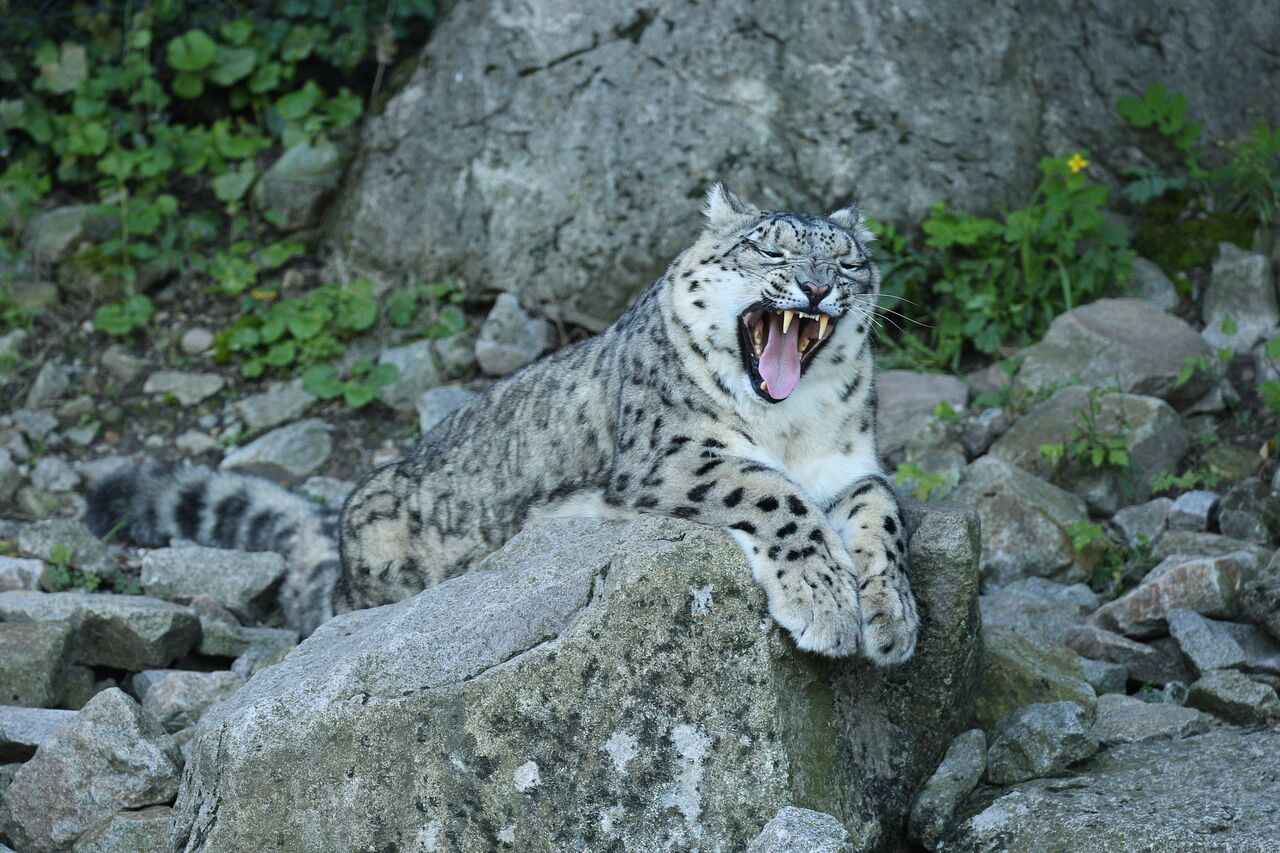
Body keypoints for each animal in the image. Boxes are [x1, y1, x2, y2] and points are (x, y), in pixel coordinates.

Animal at [87, 184, 918, 664]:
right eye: (769, 248)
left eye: (849, 262)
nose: (816, 286)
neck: (791, 425)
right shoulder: (672, 451)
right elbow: (774, 492)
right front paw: (826, 603)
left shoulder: (851, 464)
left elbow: (883, 513)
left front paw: (893, 618)